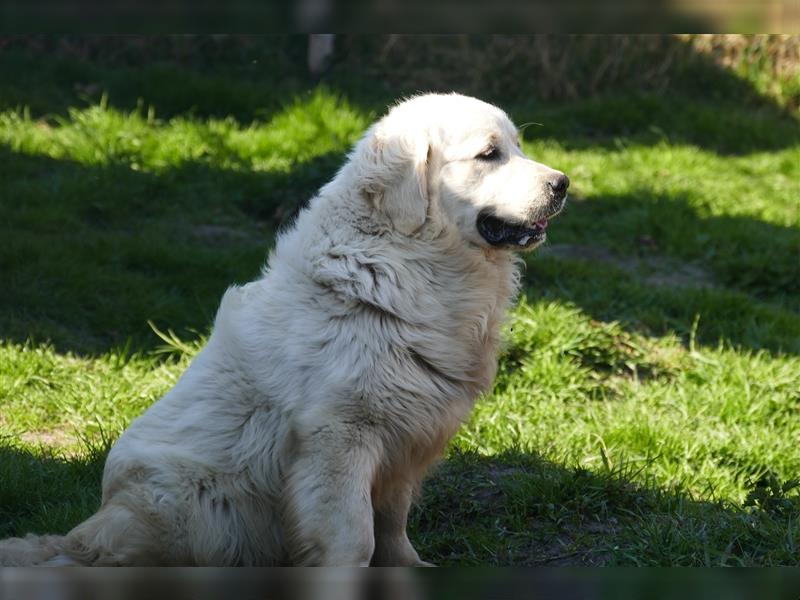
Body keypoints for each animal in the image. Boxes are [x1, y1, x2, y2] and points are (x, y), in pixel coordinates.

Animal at [4, 91, 568, 564]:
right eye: (489, 154)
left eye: (517, 147)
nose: (563, 183)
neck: (405, 263)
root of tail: (85, 534)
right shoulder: (339, 438)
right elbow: (355, 536)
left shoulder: (405, 439)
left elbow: (392, 525)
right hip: (192, 503)